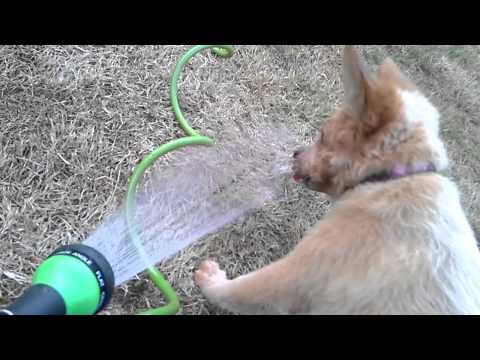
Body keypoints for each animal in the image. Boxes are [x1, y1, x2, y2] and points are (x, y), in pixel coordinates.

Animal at [194, 46, 480, 314]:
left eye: (322, 135)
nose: (295, 153)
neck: (389, 178)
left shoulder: (305, 268)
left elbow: (245, 289)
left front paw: (211, 279)